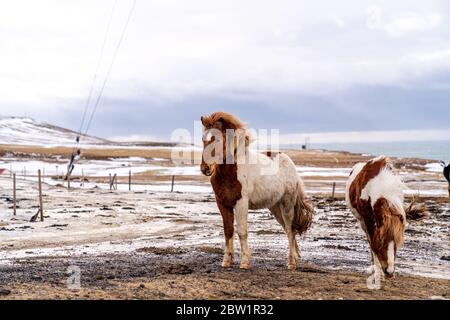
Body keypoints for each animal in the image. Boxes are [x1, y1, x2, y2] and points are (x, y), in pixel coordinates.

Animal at [200, 112, 312, 270]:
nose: (205, 169)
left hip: (287, 205)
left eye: (218, 139)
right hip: (275, 207)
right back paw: (295, 257)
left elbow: (242, 231)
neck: (230, 172)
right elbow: (228, 230)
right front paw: (227, 261)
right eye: (203, 139)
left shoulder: (241, 203)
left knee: (290, 230)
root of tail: (289, 162)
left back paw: (291, 263)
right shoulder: (222, 203)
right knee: (289, 229)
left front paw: (244, 262)